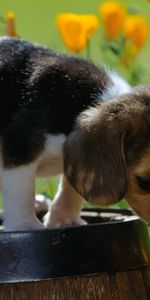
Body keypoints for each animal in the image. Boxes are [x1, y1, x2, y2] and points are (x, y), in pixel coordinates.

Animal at [1, 36, 150, 231]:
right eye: (144, 183)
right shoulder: (20, 147)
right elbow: (21, 191)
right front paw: (26, 226)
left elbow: (70, 188)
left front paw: (63, 220)